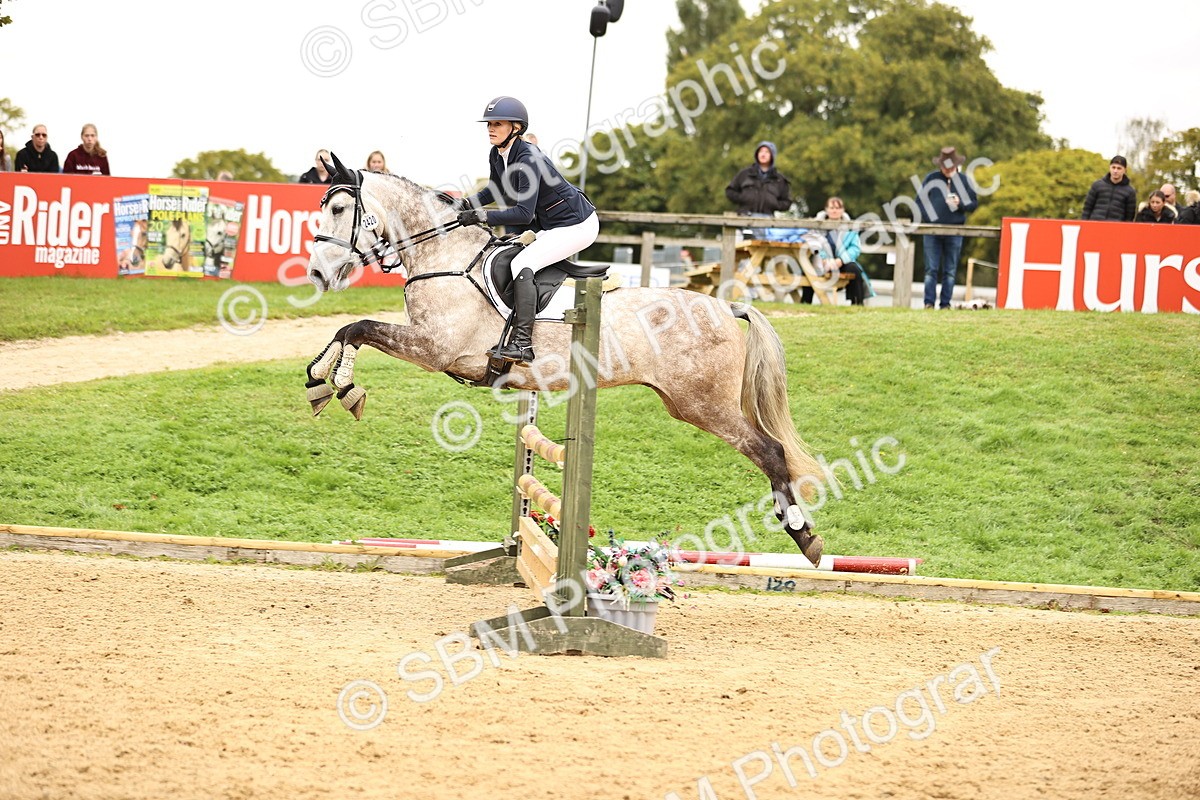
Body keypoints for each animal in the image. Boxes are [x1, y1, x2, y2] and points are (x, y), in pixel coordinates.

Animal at [303, 155, 826, 564]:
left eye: (339, 208)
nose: (316, 275)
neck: (443, 257)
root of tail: (726, 307)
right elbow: (345, 332)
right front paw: (318, 382)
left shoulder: (434, 348)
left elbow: (359, 328)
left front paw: (345, 388)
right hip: (686, 404)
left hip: (705, 405)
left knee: (769, 450)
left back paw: (803, 534)